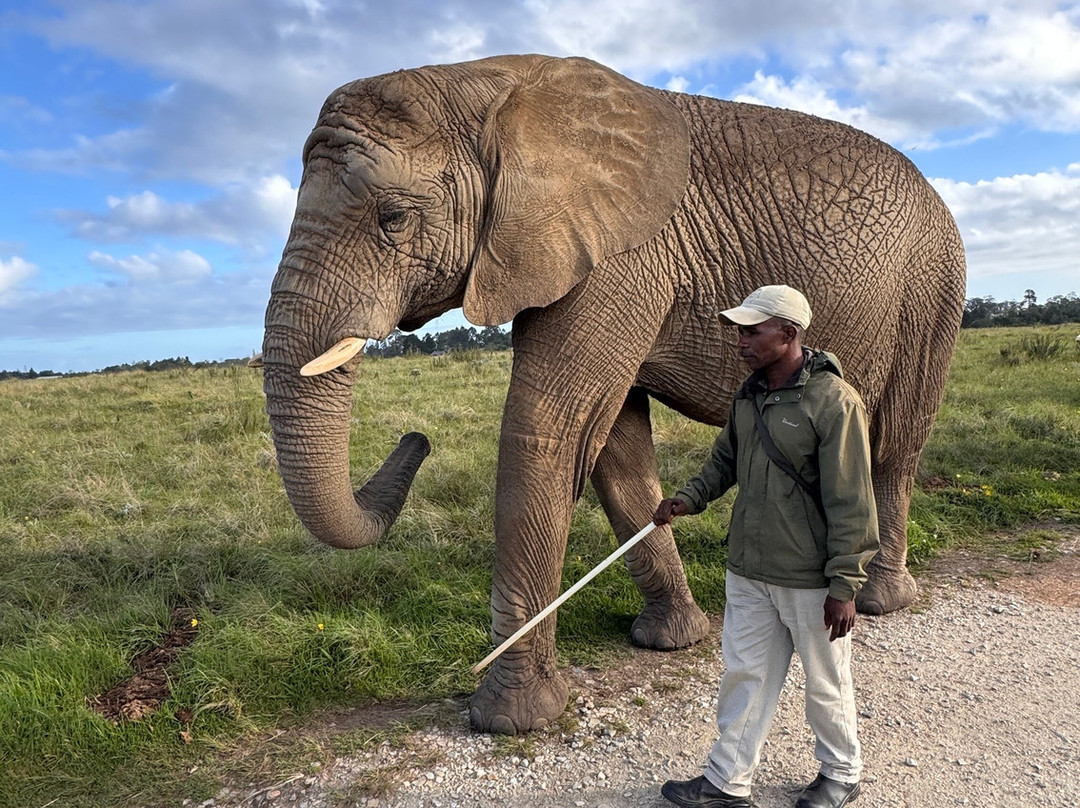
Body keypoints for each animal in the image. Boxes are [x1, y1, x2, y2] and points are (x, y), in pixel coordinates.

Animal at [261, 54, 965, 735]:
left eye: (395, 219)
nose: (417, 438)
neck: (485, 86)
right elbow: (613, 448)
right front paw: (672, 641)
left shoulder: (618, 259)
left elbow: (546, 431)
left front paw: (511, 719)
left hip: (933, 290)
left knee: (895, 444)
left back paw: (878, 601)